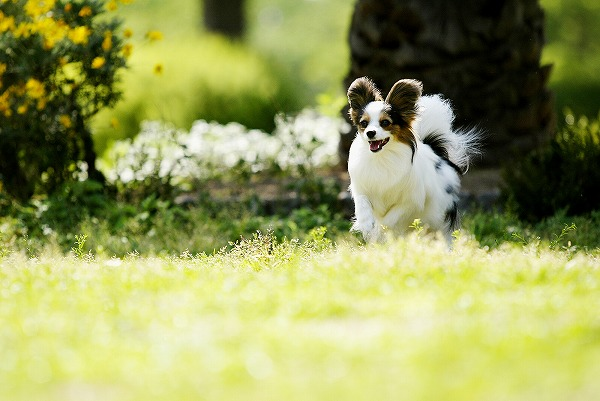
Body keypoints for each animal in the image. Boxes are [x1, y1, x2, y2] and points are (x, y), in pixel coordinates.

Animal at [346, 76, 478, 242]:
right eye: (364, 123)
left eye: (385, 123)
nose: (370, 133)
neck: (382, 157)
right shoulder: (361, 188)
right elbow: (362, 204)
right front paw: (366, 225)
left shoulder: (410, 202)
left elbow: (389, 219)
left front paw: (379, 232)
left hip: (439, 220)